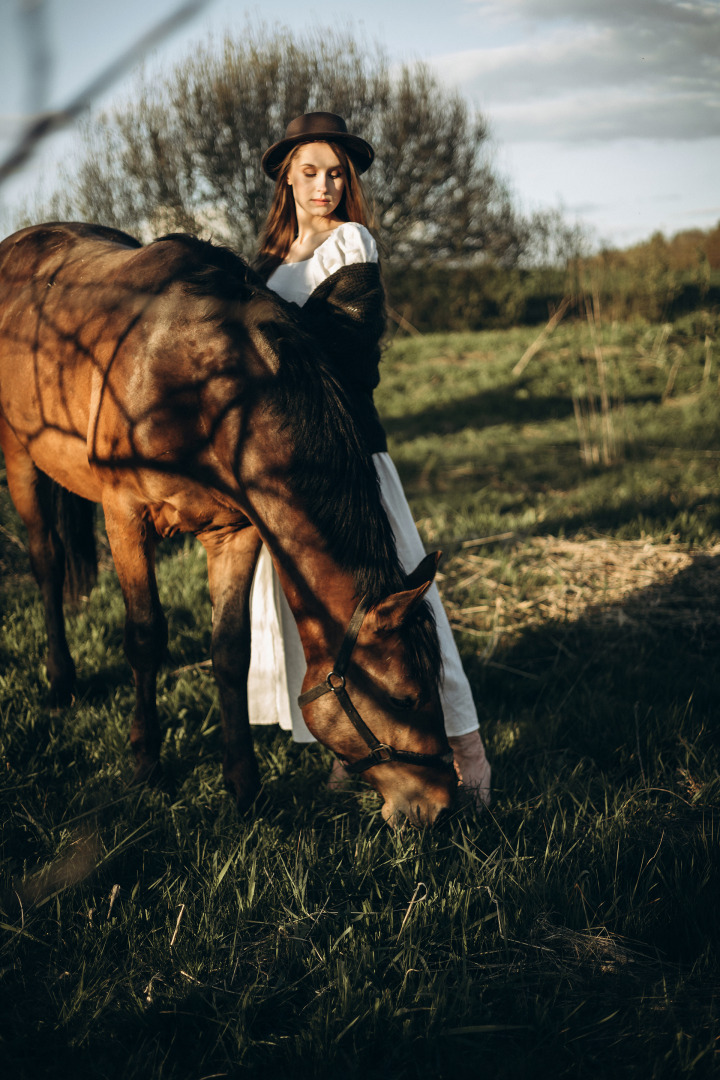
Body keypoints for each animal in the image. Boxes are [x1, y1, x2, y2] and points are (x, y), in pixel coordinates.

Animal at [0, 221, 459, 825]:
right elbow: (144, 637)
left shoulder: (235, 531)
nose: (443, 805)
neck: (206, 388)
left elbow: (232, 651)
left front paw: (244, 786)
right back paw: (59, 683)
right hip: (19, 458)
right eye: (406, 697)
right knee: (47, 563)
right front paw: (146, 766)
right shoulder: (124, 514)